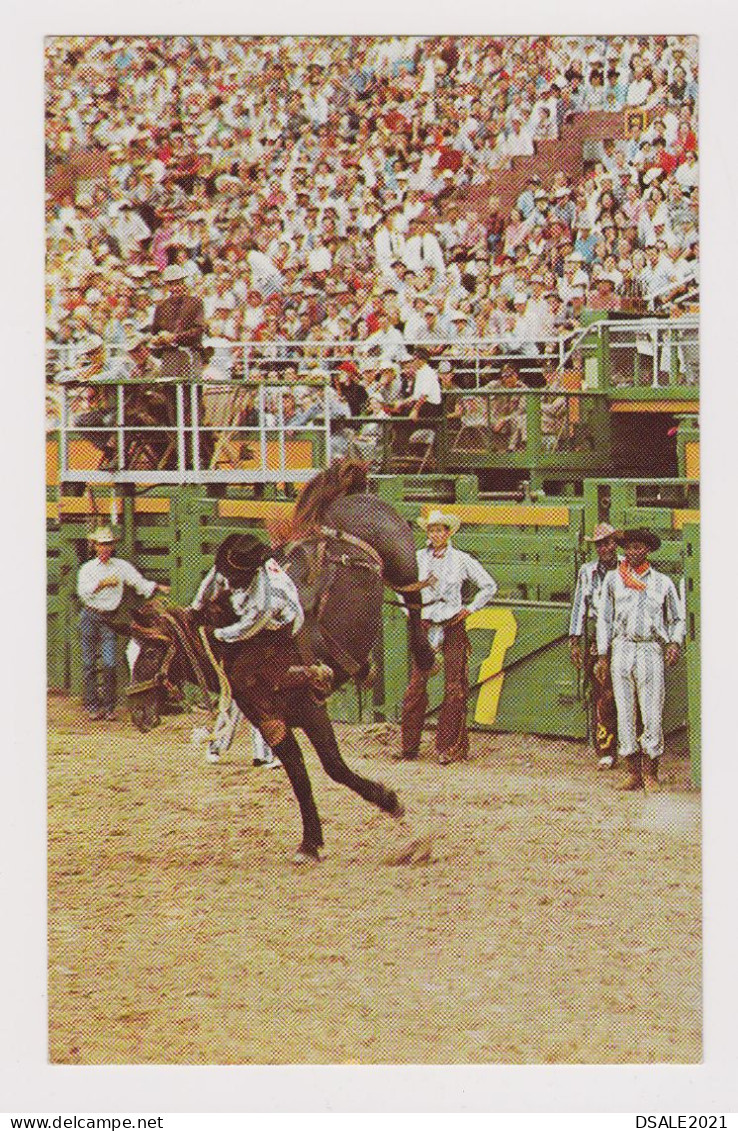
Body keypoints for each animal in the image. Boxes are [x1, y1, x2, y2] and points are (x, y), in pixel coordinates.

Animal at [126, 454, 433, 859]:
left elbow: (334, 767)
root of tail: (347, 500)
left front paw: (390, 802)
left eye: (148, 652)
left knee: (414, 600)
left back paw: (425, 657)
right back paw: (367, 668)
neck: (250, 649)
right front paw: (310, 841)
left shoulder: (311, 708)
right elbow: (299, 775)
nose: (136, 712)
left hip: (402, 561)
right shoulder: (271, 720)